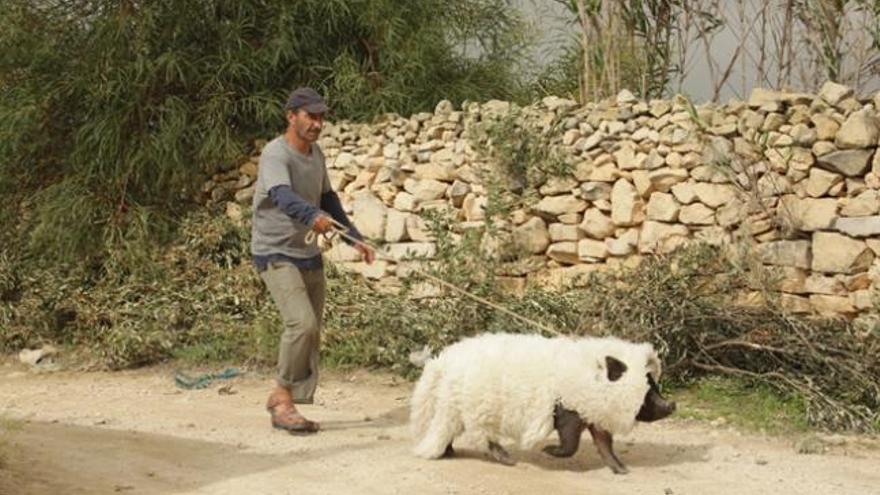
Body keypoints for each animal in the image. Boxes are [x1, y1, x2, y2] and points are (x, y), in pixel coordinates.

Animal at [410, 332, 676, 474]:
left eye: (653, 384)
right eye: (648, 389)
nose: (671, 405)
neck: (590, 381)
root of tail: (441, 362)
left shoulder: (591, 415)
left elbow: (604, 444)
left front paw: (622, 470)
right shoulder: (567, 410)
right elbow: (571, 443)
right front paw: (547, 450)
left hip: (456, 406)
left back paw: (449, 453)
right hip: (469, 407)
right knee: (476, 435)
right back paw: (507, 459)